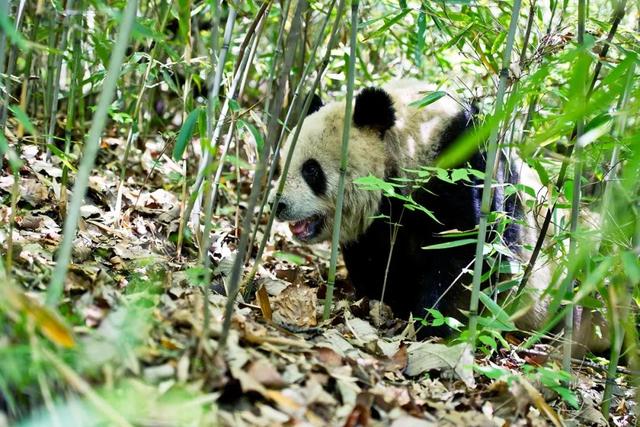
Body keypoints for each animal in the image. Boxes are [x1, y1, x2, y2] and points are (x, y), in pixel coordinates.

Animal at [276, 78, 608, 356]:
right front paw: (383, 302)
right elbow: (375, 260)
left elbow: (463, 257)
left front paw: (432, 322)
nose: (279, 204)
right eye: (282, 164)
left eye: (311, 169)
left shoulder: (463, 171)